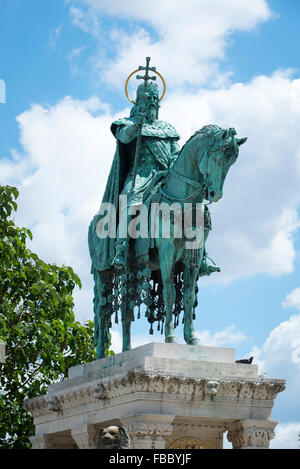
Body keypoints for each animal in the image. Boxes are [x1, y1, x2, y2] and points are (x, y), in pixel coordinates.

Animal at [91, 122, 246, 356]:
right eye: (218, 156)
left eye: (233, 160)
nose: (214, 194)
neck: (183, 204)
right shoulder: (167, 253)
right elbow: (170, 293)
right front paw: (171, 338)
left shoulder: (193, 255)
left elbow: (189, 296)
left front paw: (192, 338)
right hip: (103, 272)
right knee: (102, 313)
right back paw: (100, 357)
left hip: (131, 270)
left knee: (126, 311)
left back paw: (126, 350)